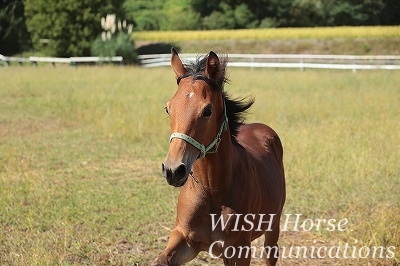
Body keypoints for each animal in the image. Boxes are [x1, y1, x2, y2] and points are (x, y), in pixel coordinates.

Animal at [152, 48, 286, 264]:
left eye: (208, 110)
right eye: (168, 108)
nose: (173, 170)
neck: (213, 191)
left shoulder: (240, 249)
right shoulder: (184, 239)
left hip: (273, 226)